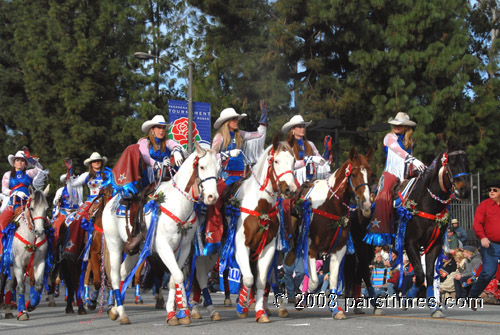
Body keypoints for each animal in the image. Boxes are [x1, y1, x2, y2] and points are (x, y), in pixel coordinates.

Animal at [2, 186, 50, 320]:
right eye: (32, 208)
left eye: (46, 208)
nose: (40, 231)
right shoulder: (18, 263)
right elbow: (21, 287)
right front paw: (22, 312)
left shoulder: (39, 261)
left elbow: (38, 285)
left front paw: (31, 305)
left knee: (9, 285)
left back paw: (8, 311)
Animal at [102, 143, 218, 326]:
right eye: (202, 167)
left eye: (219, 169)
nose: (212, 197)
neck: (177, 204)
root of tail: (111, 202)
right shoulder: (163, 247)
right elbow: (178, 275)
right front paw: (177, 313)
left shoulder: (184, 248)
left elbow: (173, 279)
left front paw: (178, 313)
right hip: (114, 244)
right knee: (114, 276)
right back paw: (122, 313)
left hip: (135, 251)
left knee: (123, 272)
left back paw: (115, 310)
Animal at [231, 138, 296, 324]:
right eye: (276, 161)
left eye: (293, 160)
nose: (290, 189)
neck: (261, 206)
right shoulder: (241, 246)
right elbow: (248, 279)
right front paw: (241, 307)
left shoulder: (268, 248)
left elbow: (259, 281)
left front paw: (260, 312)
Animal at [292, 148, 372, 320]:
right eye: (353, 174)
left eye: (370, 173)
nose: (366, 204)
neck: (328, 206)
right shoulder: (311, 249)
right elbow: (314, 281)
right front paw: (302, 296)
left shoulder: (339, 249)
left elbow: (334, 279)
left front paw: (336, 309)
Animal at [398, 144, 468, 318]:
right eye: (451, 164)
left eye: (467, 163)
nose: (464, 191)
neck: (427, 204)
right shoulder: (410, 243)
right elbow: (419, 274)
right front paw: (408, 298)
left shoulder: (434, 245)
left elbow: (428, 274)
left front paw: (434, 307)